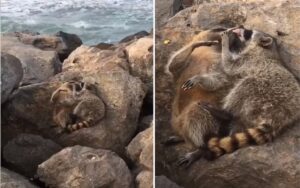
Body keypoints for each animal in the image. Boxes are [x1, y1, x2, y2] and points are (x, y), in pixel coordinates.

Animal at [165, 25, 298, 167]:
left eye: (248, 32)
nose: (240, 26)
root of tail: (281, 118)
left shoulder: (245, 60)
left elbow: (226, 70)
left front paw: (224, 43)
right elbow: (174, 65)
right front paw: (201, 43)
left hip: (267, 94)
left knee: (244, 86)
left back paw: (222, 117)